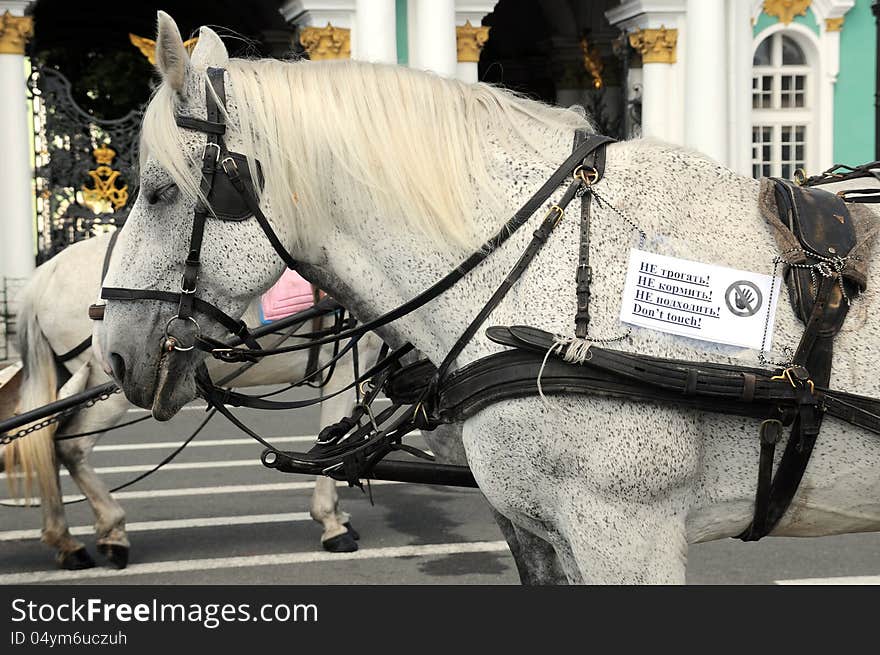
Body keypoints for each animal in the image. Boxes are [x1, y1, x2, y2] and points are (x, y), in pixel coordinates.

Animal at [0, 234, 372, 568]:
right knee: (69, 446)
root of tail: (47, 272)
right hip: (108, 384)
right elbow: (330, 445)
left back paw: (64, 540)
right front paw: (332, 522)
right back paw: (111, 530)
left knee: (43, 443)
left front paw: (337, 515)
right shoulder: (343, 368)